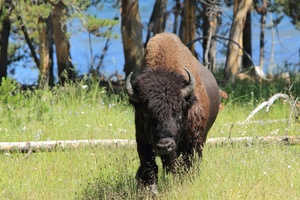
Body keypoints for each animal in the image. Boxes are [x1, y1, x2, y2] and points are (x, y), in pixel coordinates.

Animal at [125, 32, 219, 194]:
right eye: (145, 113)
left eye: (178, 111)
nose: (164, 145)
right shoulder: (142, 140)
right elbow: (149, 165)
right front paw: (149, 189)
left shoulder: (193, 141)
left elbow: (187, 164)